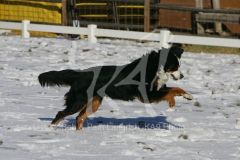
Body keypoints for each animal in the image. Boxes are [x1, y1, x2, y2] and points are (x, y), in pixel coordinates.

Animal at [39, 45, 193, 130]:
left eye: (179, 66)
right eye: (174, 67)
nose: (182, 76)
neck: (155, 67)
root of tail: (80, 74)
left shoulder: (156, 90)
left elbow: (175, 89)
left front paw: (188, 95)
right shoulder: (147, 95)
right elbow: (170, 93)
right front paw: (172, 103)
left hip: (93, 103)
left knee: (79, 118)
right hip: (78, 101)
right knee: (62, 113)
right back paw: (51, 129)